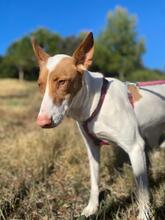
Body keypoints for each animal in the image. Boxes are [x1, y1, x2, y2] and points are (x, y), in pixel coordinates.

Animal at [31, 31, 165, 219]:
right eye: (40, 84)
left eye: (62, 82)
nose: (42, 122)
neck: (94, 102)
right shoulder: (92, 148)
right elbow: (94, 181)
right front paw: (92, 208)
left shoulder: (135, 148)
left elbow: (142, 190)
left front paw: (144, 215)